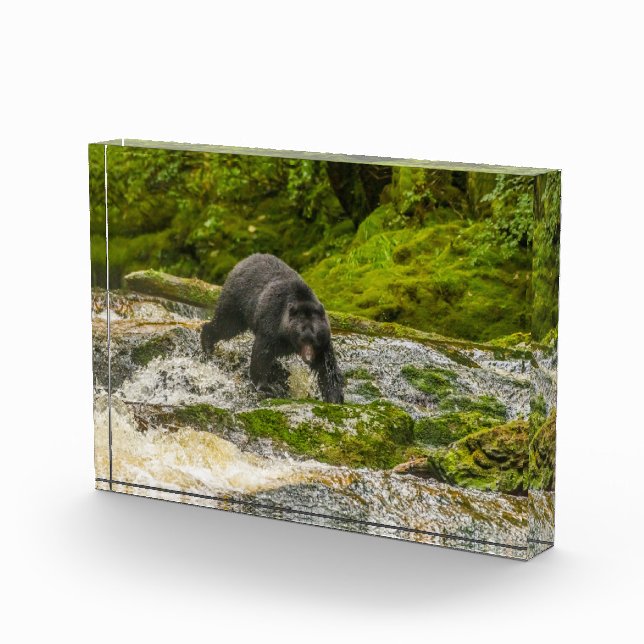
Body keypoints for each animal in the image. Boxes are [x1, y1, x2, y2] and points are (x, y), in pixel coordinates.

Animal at [200, 253, 344, 403]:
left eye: (314, 340)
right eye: (302, 339)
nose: (309, 358)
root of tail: (244, 260)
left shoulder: (323, 342)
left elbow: (327, 367)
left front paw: (335, 397)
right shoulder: (272, 322)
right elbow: (262, 353)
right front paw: (266, 386)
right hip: (238, 301)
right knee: (225, 325)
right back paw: (207, 345)